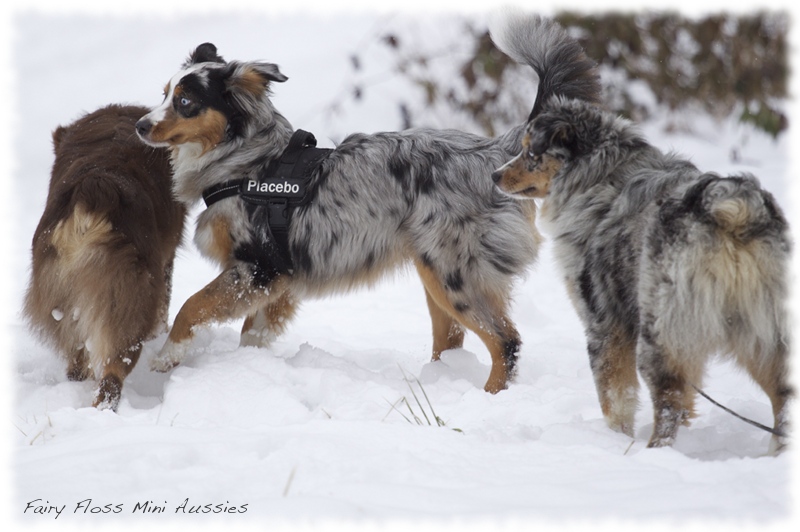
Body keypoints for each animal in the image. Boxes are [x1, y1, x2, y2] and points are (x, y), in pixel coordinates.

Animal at [23, 105, 188, 412]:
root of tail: (97, 186)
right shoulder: (166, 261)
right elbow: (164, 308)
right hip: (128, 301)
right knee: (112, 376)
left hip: (60, 296)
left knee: (77, 361)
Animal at [136, 15, 600, 394]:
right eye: (163, 94)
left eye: (185, 102)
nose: (140, 125)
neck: (248, 163)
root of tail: (498, 152)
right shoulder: (281, 280)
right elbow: (253, 331)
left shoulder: (259, 267)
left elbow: (191, 306)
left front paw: (166, 356)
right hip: (434, 272)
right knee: (451, 341)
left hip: (455, 273)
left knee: (506, 342)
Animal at [490, 72, 792, 450]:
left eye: (531, 151)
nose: (494, 175)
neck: (601, 176)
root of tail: (731, 211)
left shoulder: (604, 321)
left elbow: (615, 396)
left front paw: (614, 440)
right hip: (761, 333)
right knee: (783, 394)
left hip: (661, 331)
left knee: (670, 400)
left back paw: (653, 452)